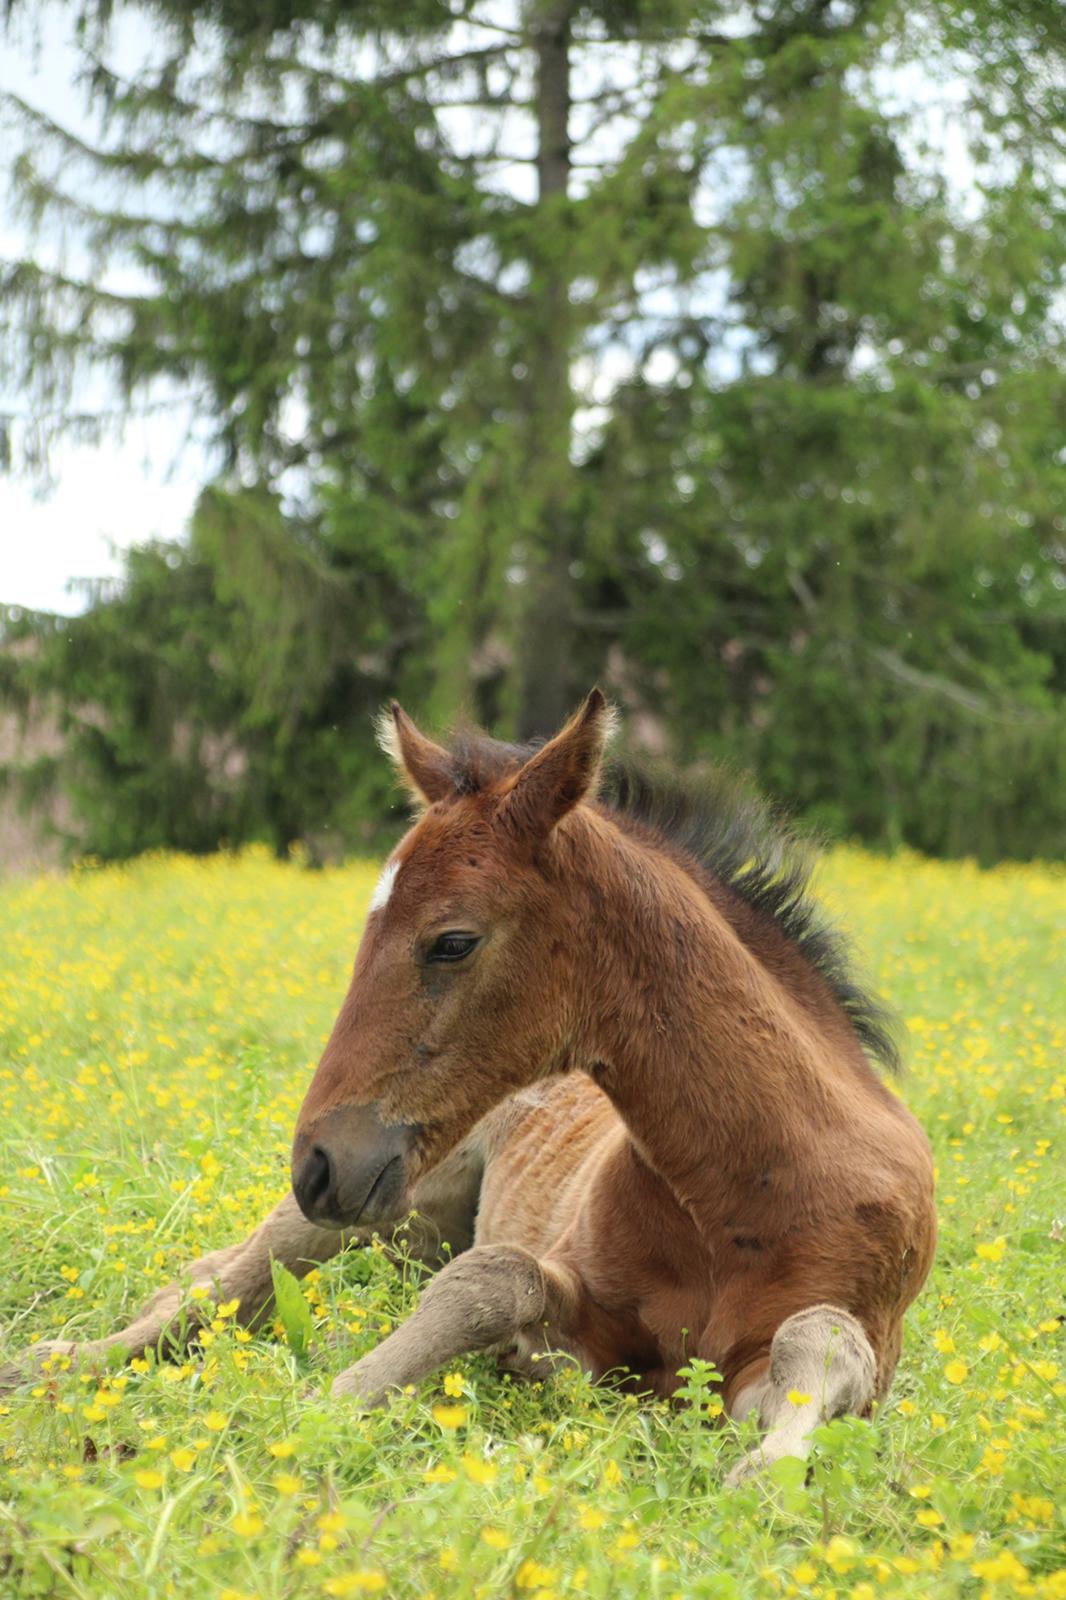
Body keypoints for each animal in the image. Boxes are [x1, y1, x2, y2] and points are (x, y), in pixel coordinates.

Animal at [4, 694, 934, 1478]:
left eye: (451, 941)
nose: (317, 1162)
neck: (752, 1187)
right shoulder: (578, 1317)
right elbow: (493, 1280)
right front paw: (317, 1408)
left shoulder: (782, 1361)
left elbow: (823, 1341)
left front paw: (766, 1474)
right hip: (379, 1208)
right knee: (221, 1288)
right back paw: (57, 1361)